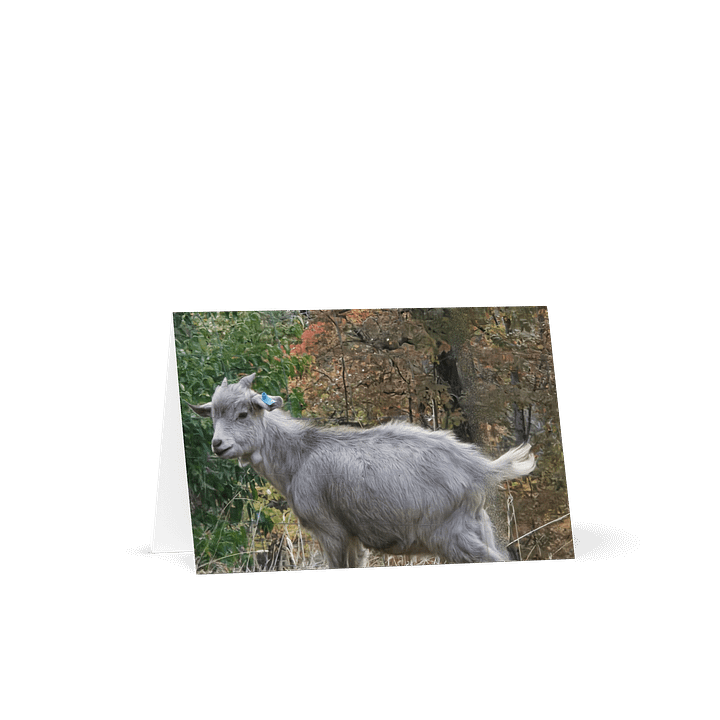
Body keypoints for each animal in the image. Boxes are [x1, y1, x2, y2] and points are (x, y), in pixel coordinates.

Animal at [189, 373, 536, 568]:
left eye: (243, 413)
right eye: (213, 415)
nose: (218, 444)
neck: (299, 455)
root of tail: (477, 465)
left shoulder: (331, 530)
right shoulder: (353, 534)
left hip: (450, 532)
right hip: (476, 524)